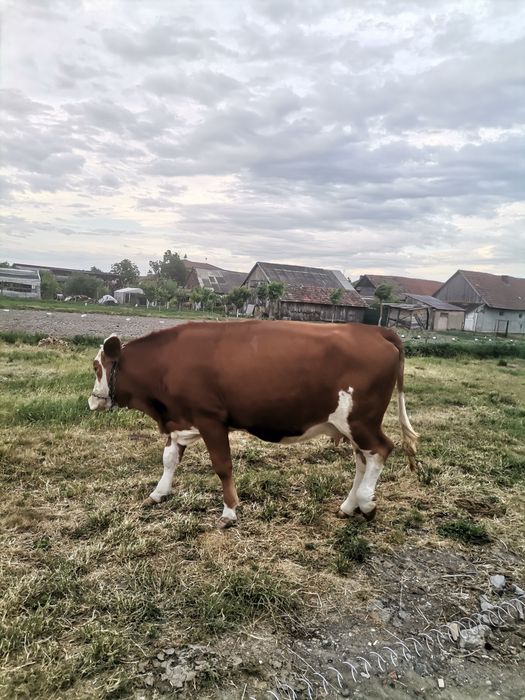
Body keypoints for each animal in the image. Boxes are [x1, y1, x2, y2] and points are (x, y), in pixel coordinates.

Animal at [88, 320, 418, 528]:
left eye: (96, 367)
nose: (92, 402)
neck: (168, 363)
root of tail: (376, 330)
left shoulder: (210, 419)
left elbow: (223, 467)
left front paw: (229, 512)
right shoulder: (179, 419)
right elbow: (169, 459)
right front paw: (158, 493)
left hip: (361, 420)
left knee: (381, 450)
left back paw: (367, 503)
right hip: (349, 425)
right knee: (363, 460)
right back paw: (349, 506)